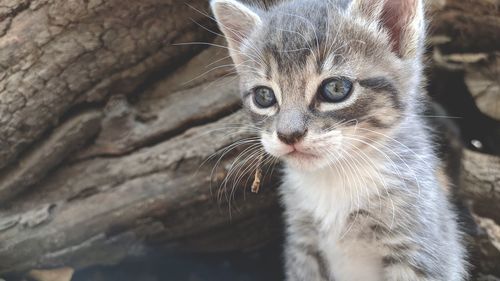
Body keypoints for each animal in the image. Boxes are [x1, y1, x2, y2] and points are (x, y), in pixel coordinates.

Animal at [210, 0, 464, 280]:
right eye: (263, 96)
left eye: (335, 88)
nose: (288, 134)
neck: (335, 178)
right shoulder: (303, 245)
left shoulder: (420, 247)